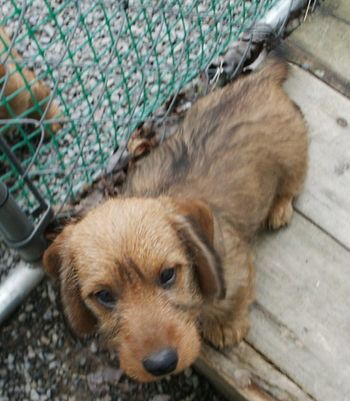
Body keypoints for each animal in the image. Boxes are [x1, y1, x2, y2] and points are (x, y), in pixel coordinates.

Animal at [43, 57, 306, 382]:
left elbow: (233, 300)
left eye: (168, 274)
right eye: (103, 295)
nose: (161, 364)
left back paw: (280, 208)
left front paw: (226, 327)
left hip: (293, 156)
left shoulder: (237, 268)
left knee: (292, 183)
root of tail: (258, 79)